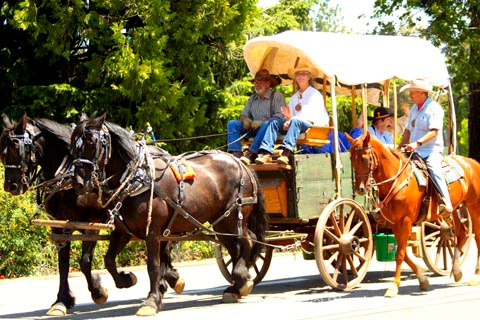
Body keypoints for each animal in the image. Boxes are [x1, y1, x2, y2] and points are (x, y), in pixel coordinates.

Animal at [0, 114, 185, 316]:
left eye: (17, 147)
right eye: (3, 151)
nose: (11, 185)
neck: (66, 178)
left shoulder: (91, 224)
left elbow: (84, 261)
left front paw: (99, 292)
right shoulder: (61, 226)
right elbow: (63, 264)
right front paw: (61, 301)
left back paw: (169, 280)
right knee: (164, 245)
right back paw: (170, 278)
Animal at [69, 114, 268, 316]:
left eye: (92, 142)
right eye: (72, 145)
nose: (78, 183)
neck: (137, 179)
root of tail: (242, 164)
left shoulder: (153, 232)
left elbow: (153, 266)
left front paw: (151, 300)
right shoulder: (123, 232)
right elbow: (109, 260)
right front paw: (127, 279)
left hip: (234, 216)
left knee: (248, 241)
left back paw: (241, 278)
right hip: (220, 223)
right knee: (236, 247)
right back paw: (237, 287)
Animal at [346, 131, 480, 296]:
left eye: (365, 158)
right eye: (351, 158)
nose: (360, 189)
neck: (397, 180)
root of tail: (472, 162)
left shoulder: (405, 221)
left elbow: (400, 254)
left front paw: (393, 286)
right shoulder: (395, 223)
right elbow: (402, 253)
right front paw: (422, 279)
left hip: (474, 206)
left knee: (477, 236)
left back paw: (475, 275)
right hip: (455, 208)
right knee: (461, 232)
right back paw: (456, 271)